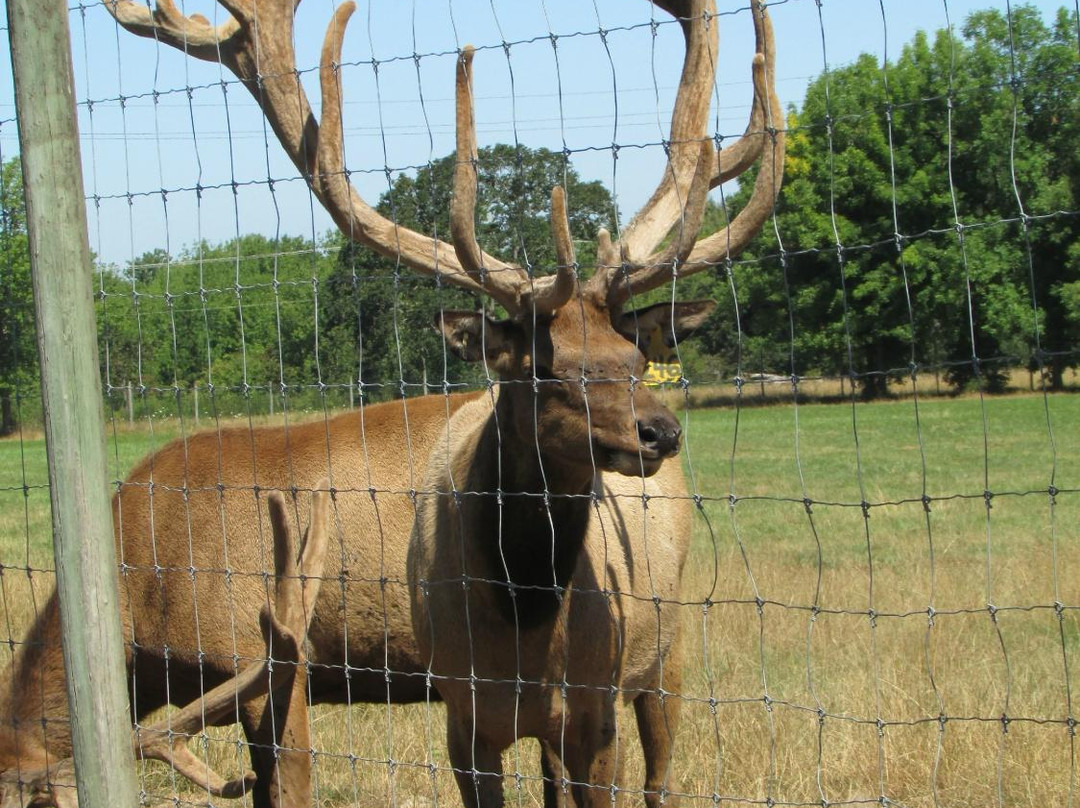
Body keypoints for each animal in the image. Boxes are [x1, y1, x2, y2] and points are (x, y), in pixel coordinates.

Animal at [0, 0, 781, 805]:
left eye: (634, 359)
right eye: (543, 367)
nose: (660, 431)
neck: (141, 598)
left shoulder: (260, 651)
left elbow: (290, 783)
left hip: (668, 653)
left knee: (661, 768)